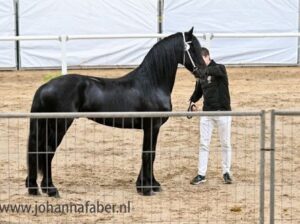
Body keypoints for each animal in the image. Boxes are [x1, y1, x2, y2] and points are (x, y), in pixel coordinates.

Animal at [25, 27, 206, 196]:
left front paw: (148, 185)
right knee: (48, 151)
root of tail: (44, 87)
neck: (151, 83)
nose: (204, 73)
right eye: (192, 49)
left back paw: (35, 187)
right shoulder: (152, 126)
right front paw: (147, 188)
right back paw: (51, 189)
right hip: (59, 125)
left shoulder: (149, 128)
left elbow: (148, 153)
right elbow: (149, 154)